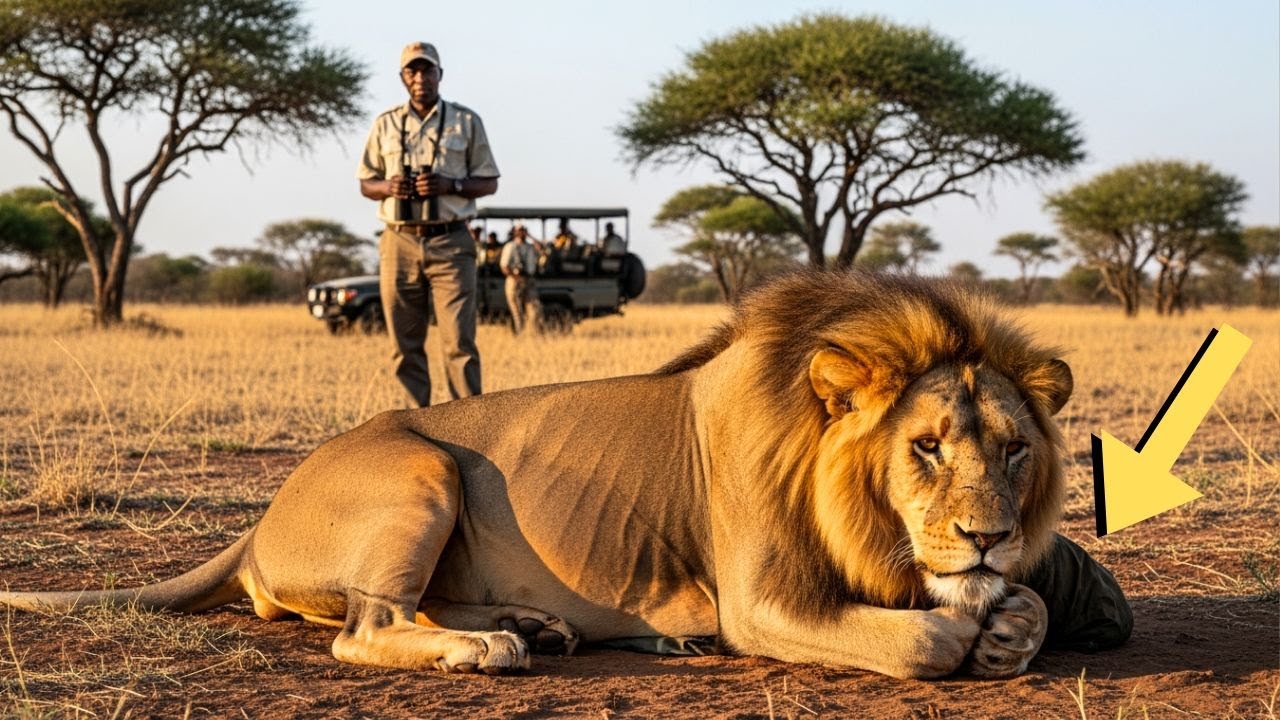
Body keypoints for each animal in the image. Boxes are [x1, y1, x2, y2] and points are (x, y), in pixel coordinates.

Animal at [2, 271, 1102, 679]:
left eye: (1014, 449)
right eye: (925, 446)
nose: (989, 537)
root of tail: (264, 509)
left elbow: (1018, 609)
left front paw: (1010, 620)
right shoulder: (758, 604)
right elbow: (921, 639)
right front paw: (971, 625)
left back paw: (534, 625)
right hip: (420, 468)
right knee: (363, 629)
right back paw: (488, 649)